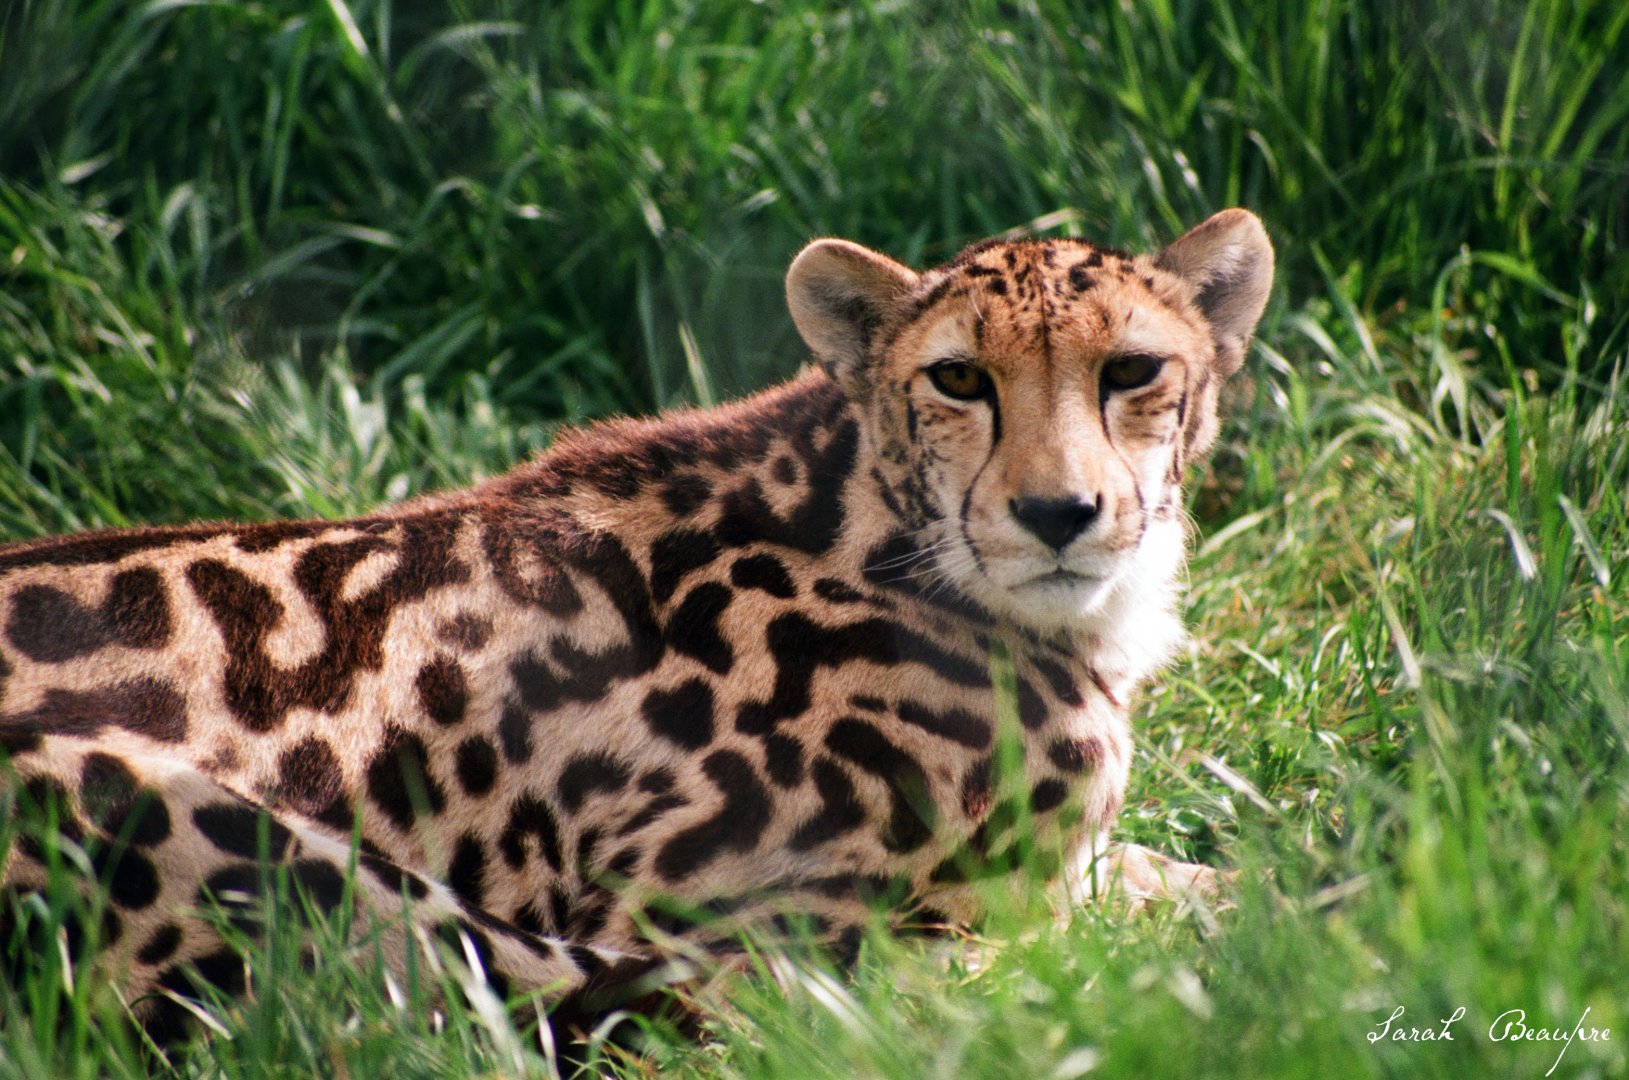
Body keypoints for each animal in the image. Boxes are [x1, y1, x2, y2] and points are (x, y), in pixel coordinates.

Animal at [0, 209, 1273, 1040]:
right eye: (959, 380)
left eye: (1133, 370)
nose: (1060, 514)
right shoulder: (689, 908)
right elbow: (949, 967)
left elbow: (1189, 874)